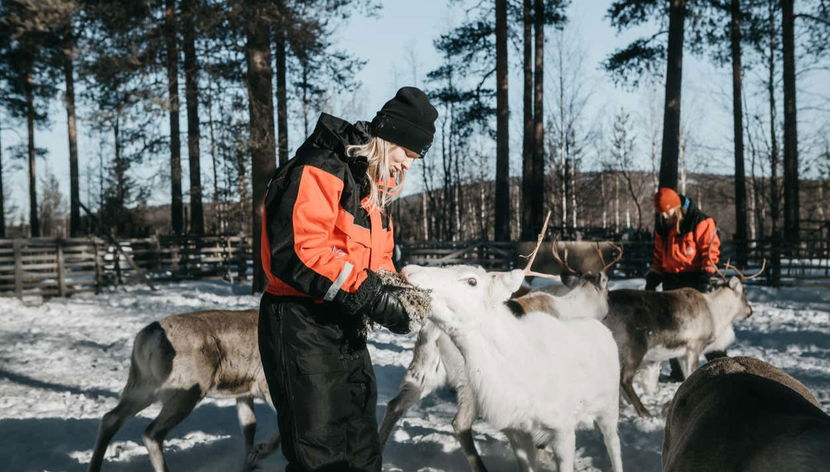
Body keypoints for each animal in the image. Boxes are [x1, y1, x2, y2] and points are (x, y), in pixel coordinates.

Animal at [87, 309, 280, 472]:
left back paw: (94, 467)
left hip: (141, 386)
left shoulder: (244, 394)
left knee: (110, 418)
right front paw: (261, 451)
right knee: (151, 433)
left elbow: (249, 428)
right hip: (186, 392)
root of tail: (148, 339)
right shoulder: (266, 387)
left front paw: (250, 463)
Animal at [379, 214, 618, 471]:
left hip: (424, 370)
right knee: (459, 422)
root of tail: (431, 332)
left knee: (395, 404)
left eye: (472, 281)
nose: (408, 270)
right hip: (465, 382)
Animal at [602, 261, 762, 418]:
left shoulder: (681, 353)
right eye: (744, 293)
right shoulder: (695, 347)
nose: (750, 311)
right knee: (625, 378)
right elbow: (691, 373)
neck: (715, 313)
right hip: (634, 348)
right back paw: (644, 412)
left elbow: (686, 377)